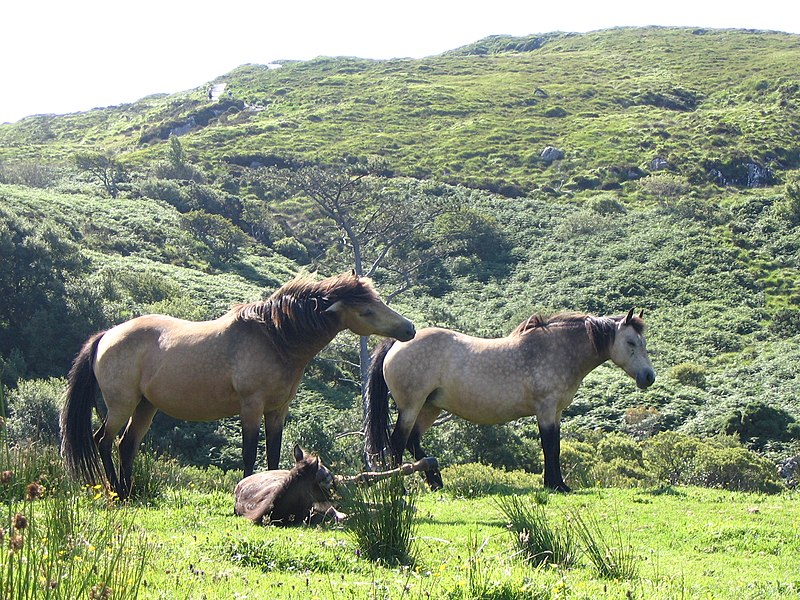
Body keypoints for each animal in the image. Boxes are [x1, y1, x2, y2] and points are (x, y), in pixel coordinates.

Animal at [59, 272, 416, 496]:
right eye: (366, 311)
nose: (409, 329)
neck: (274, 338)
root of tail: (106, 335)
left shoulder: (277, 410)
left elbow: (273, 453)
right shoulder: (251, 406)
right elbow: (248, 454)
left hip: (145, 407)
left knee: (126, 445)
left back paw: (128, 490)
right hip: (122, 405)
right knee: (103, 441)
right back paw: (116, 491)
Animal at [366, 310, 652, 492]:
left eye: (643, 342)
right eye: (630, 342)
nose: (649, 377)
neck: (557, 350)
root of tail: (395, 343)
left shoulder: (555, 412)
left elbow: (555, 447)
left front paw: (558, 483)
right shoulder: (545, 410)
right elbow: (549, 446)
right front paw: (555, 485)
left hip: (430, 407)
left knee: (413, 442)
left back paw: (435, 482)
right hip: (411, 406)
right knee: (398, 442)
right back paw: (400, 488)